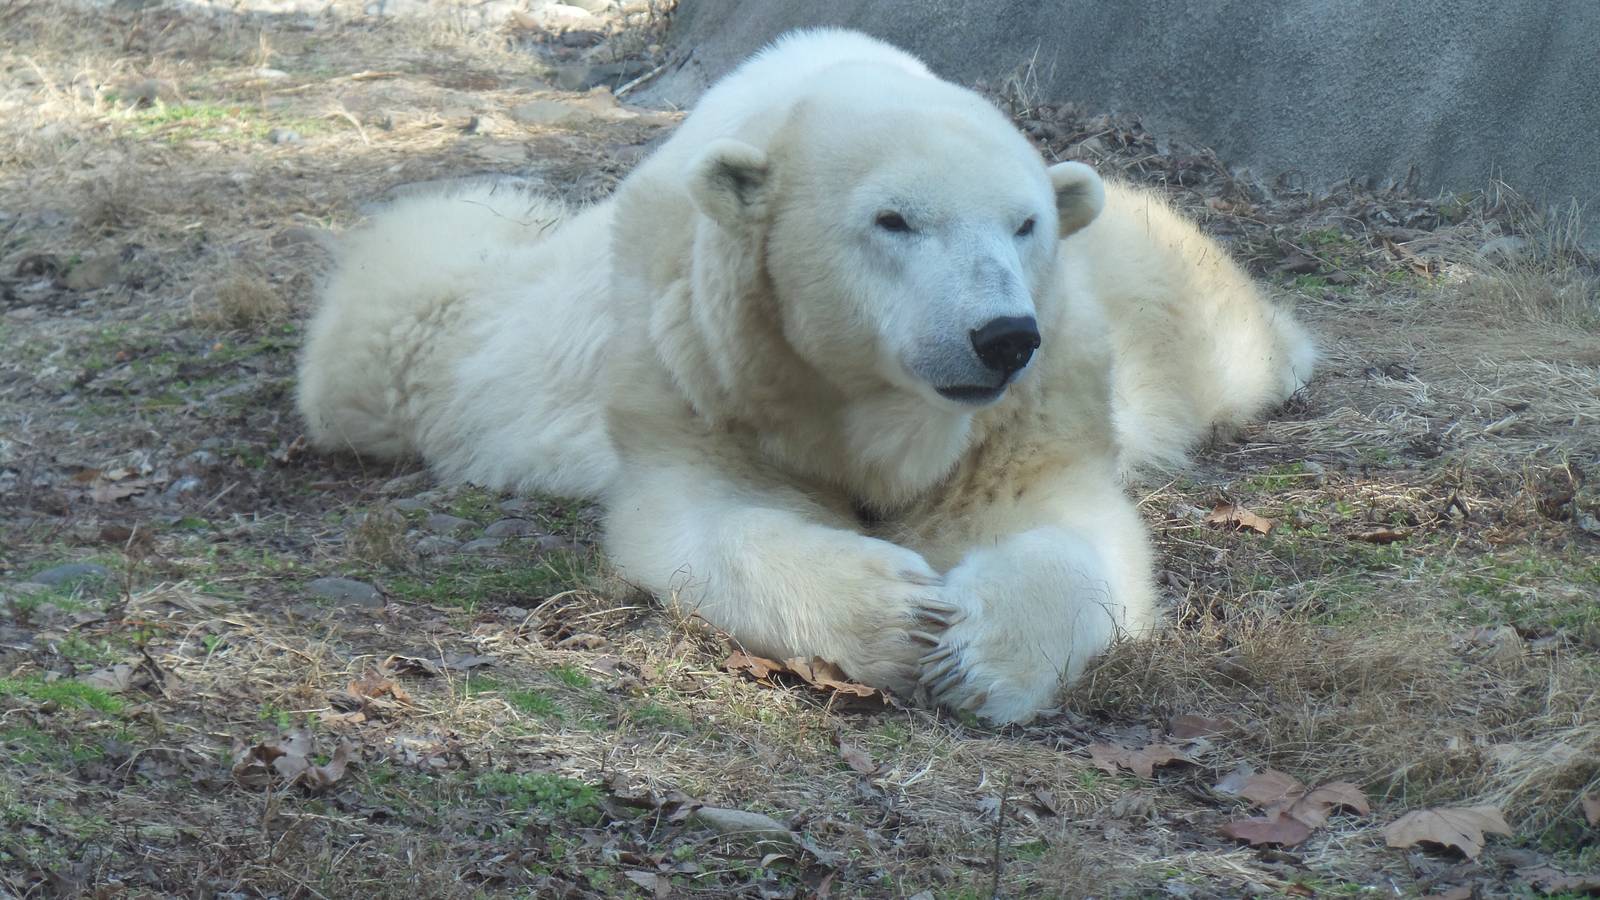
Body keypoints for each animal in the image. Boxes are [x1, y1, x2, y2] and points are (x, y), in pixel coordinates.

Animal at [298, 29, 1315, 724]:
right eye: (894, 219)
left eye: (1024, 224)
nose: (1000, 337)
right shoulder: (698, 358)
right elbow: (705, 516)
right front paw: (899, 617)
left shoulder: (1036, 394)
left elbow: (1073, 529)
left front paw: (975, 652)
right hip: (446, 339)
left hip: (1158, 291)